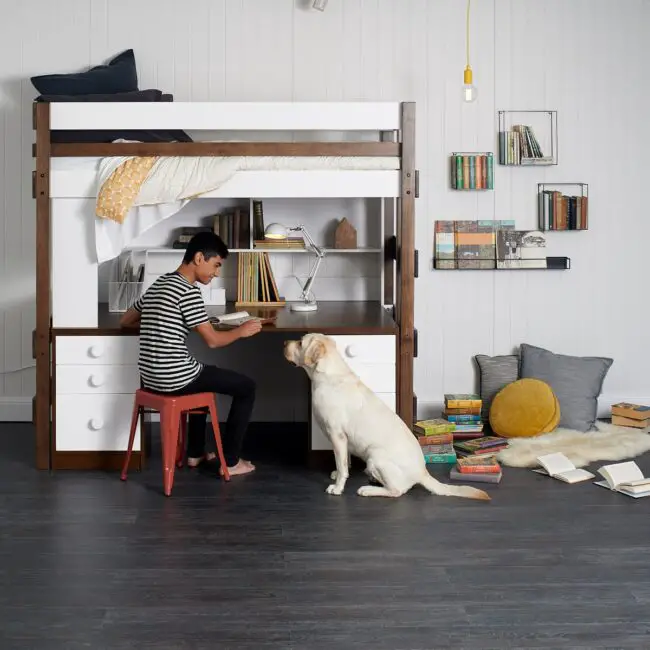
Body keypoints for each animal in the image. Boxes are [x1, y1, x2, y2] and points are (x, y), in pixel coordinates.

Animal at [284, 332, 486, 498]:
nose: (284, 341)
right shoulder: (344, 439)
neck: (328, 375)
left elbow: (342, 466)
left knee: (397, 491)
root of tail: (422, 472)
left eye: (300, 342)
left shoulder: (337, 435)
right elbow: (344, 461)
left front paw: (337, 487)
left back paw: (368, 489)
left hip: (375, 456)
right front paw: (337, 473)